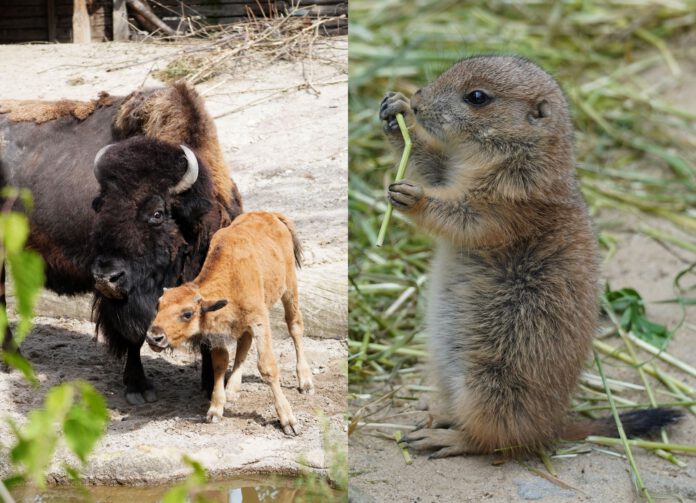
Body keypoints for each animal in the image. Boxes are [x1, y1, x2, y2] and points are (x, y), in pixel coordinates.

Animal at [0, 82, 243, 406]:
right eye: (101, 206)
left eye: (157, 213)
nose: (106, 277)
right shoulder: (124, 298)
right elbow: (132, 336)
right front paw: (138, 388)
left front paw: (208, 385)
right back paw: (13, 359)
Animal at [145, 211, 314, 436]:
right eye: (158, 304)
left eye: (187, 314)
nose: (154, 337)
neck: (231, 277)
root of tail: (271, 215)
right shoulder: (218, 333)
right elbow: (220, 362)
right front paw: (215, 410)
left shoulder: (260, 320)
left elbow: (267, 367)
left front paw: (288, 421)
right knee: (244, 342)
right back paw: (232, 389)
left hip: (289, 289)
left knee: (295, 326)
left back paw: (305, 382)